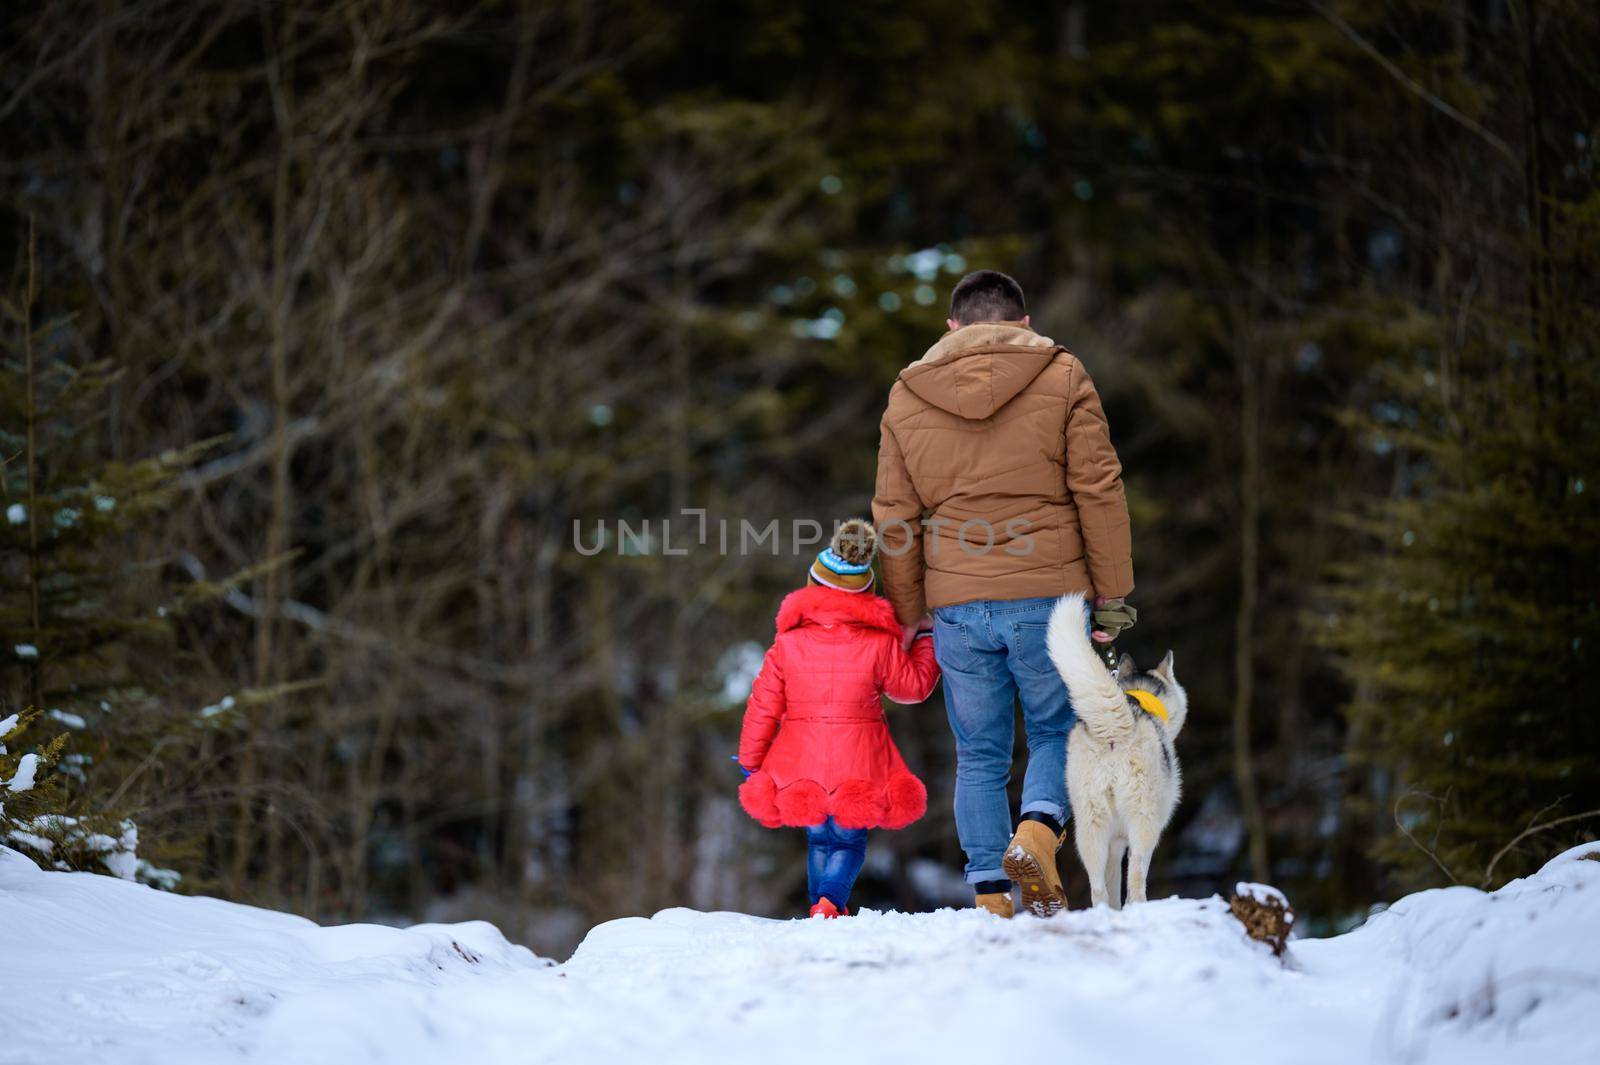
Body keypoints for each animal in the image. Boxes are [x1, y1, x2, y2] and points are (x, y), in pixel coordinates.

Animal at [1043, 588, 1184, 901]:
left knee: (1097, 888)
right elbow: (1128, 880)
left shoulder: (1115, 841)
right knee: (1136, 879)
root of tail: (1113, 726)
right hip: (1143, 824)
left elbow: (1110, 883)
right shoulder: (1131, 835)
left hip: (1089, 827)